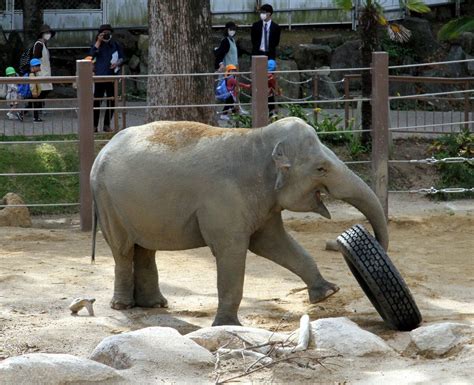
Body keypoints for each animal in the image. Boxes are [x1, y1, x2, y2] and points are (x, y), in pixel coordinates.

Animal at [90, 116, 388, 324]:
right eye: (321, 169)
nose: (375, 244)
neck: (257, 139)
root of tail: (103, 148)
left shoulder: (264, 204)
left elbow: (275, 244)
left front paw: (328, 293)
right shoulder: (224, 200)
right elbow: (232, 251)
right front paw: (226, 325)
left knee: (145, 249)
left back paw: (155, 305)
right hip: (107, 202)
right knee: (123, 249)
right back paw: (123, 306)